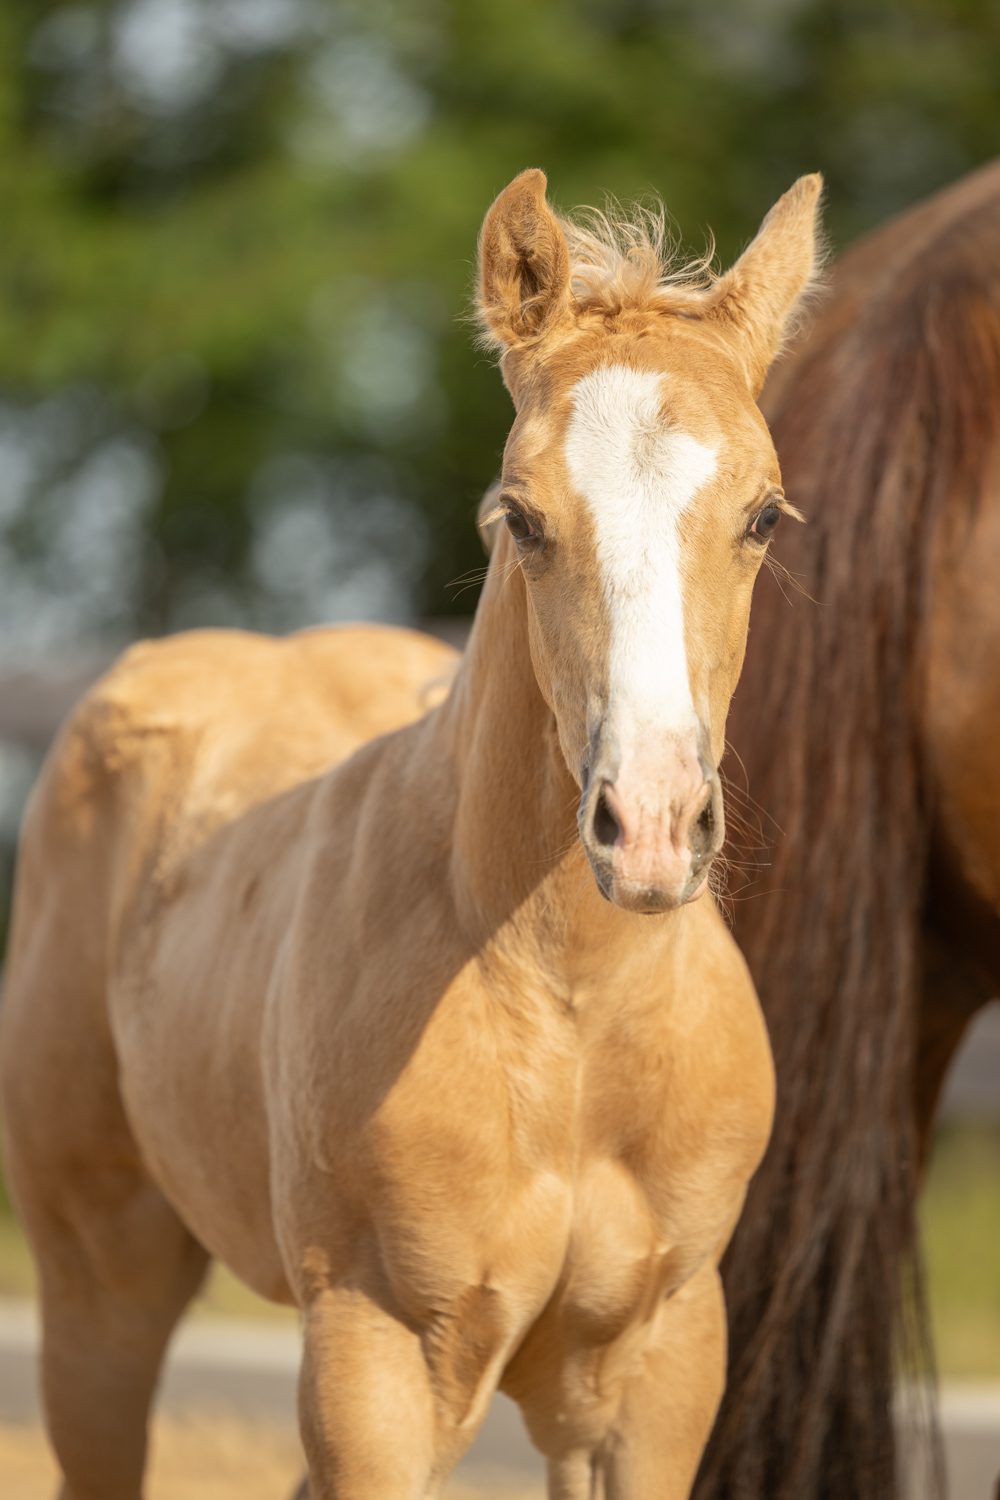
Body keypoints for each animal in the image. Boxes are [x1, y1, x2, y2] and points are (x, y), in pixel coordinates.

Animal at [0, 166, 822, 1500]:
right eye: (520, 517)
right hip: (98, 1282)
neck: (573, 1018)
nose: (647, 826)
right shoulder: (376, 1357)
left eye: (762, 516)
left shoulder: (657, 1367)